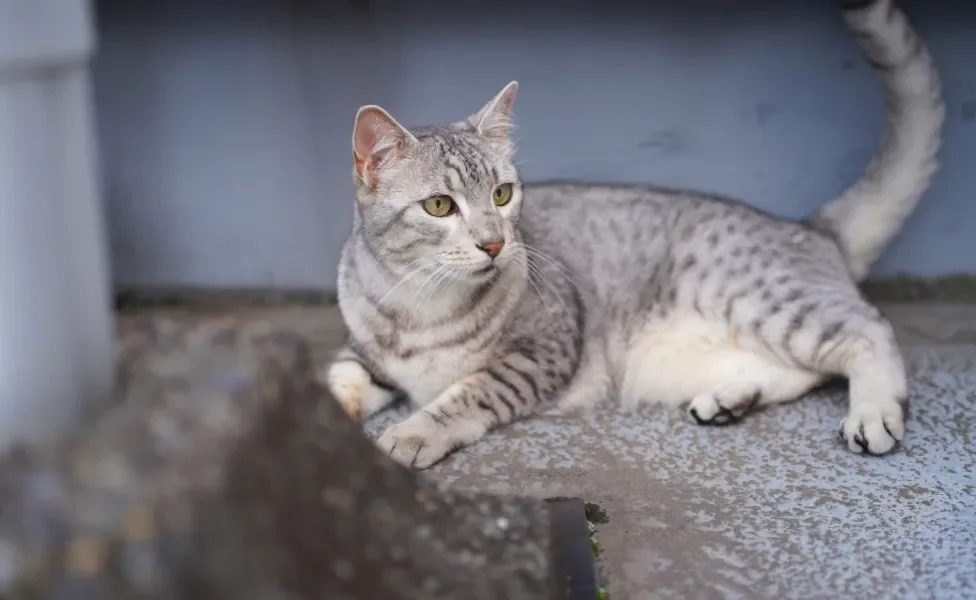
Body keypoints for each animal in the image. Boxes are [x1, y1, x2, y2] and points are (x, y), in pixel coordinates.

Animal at [324, 0, 940, 468]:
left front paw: (411, 432)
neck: (417, 306)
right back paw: (729, 398)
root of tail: (810, 228)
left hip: (762, 296)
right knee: (806, 369)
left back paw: (873, 413)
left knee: (868, 331)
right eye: (439, 205)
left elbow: (462, 396)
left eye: (501, 194)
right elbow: (338, 381)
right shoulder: (361, 353)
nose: (494, 243)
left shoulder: (540, 353)